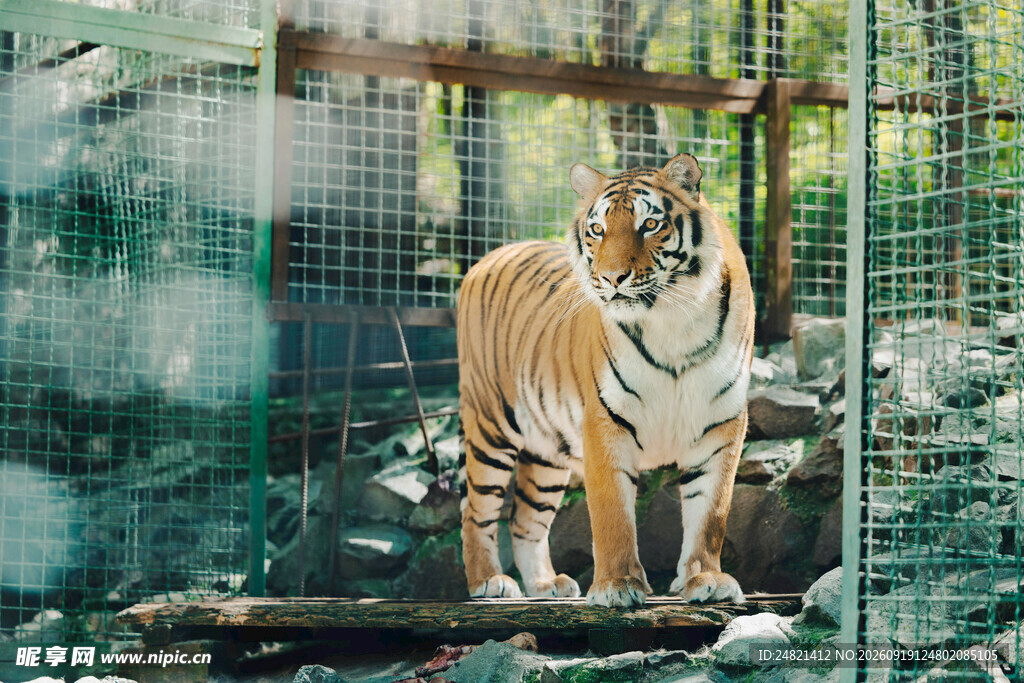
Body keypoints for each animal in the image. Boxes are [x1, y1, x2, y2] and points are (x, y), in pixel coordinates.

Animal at [456, 153, 755, 608]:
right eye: (598, 229)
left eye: (649, 224)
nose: (613, 278)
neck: (674, 321)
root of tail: (490, 256)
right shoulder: (605, 420)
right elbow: (612, 513)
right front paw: (617, 586)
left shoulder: (721, 424)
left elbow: (711, 512)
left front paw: (707, 579)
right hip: (491, 425)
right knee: (475, 511)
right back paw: (489, 582)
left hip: (546, 452)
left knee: (525, 519)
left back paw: (544, 585)